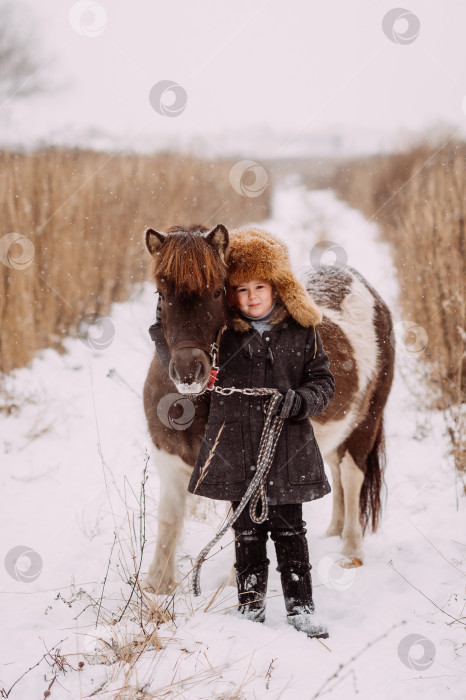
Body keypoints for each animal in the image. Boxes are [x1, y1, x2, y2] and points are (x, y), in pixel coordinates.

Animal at [141, 223, 394, 592]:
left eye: (218, 291)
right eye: (162, 293)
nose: (189, 372)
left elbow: (240, 522)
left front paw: (232, 583)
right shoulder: (170, 463)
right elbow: (169, 521)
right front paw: (156, 586)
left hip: (366, 422)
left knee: (351, 474)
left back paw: (350, 552)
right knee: (336, 467)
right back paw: (333, 531)